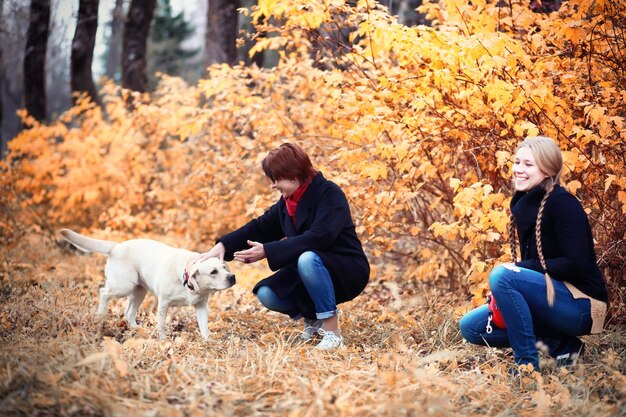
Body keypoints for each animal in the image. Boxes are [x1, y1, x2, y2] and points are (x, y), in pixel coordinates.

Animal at [59, 228, 234, 338]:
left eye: (224, 267)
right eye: (213, 272)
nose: (232, 277)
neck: (187, 281)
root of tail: (116, 246)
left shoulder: (201, 306)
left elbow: (204, 326)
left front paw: (207, 342)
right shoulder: (164, 303)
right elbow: (161, 324)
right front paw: (163, 340)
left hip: (139, 291)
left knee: (128, 312)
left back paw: (137, 329)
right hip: (123, 286)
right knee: (104, 292)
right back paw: (101, 315)